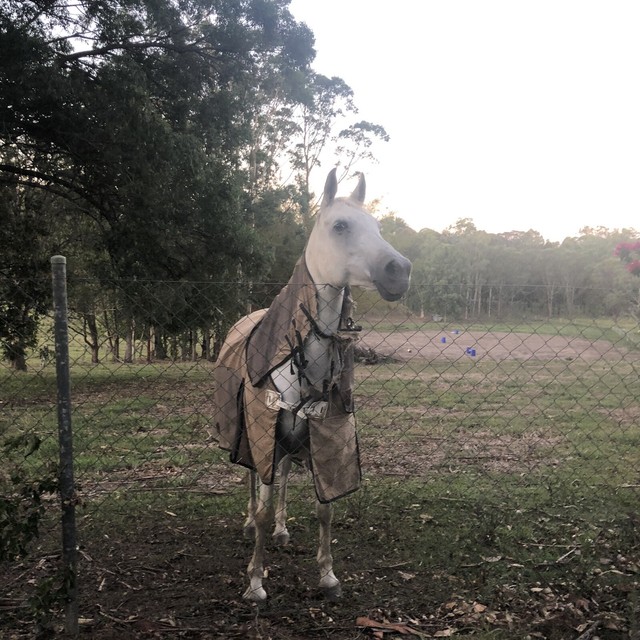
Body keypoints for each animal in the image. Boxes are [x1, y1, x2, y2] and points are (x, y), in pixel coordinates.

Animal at [213, 168, 412, 602]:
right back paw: (251, 525)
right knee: (252, 479)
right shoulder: (265, 439)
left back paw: (282, 531)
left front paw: (327, 576)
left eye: (378, 226)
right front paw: (255, 582)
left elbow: (325, 508)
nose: (400, 270)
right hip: (253, 440)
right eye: (340, 226)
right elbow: (262, 504)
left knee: (285, 478)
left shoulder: (322, 441)